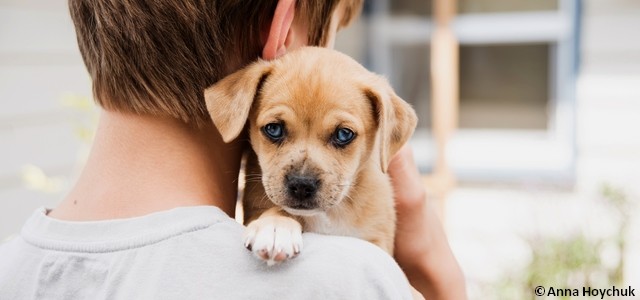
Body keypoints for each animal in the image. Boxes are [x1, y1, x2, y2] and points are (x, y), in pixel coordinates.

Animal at [202, 46, 418, 264]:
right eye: (274, 129)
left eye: (344, 134)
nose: (301, 185)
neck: (328, 216)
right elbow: (278, 209)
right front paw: (275, 226)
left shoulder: (380, 242)